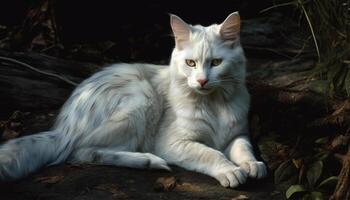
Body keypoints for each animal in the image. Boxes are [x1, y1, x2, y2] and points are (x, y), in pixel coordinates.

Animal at [0, 12, 266, 188]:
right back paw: (149, 161)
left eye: (216, 63)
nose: (201, 81)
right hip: (140, 99)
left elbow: (244, 148)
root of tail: (63, 127)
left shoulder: (238, 134)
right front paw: (230, 171)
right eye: (191, 63)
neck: (214, 104)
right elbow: (210, 154)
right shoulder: (174, 143)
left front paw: (253, 165)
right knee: (82, 153)